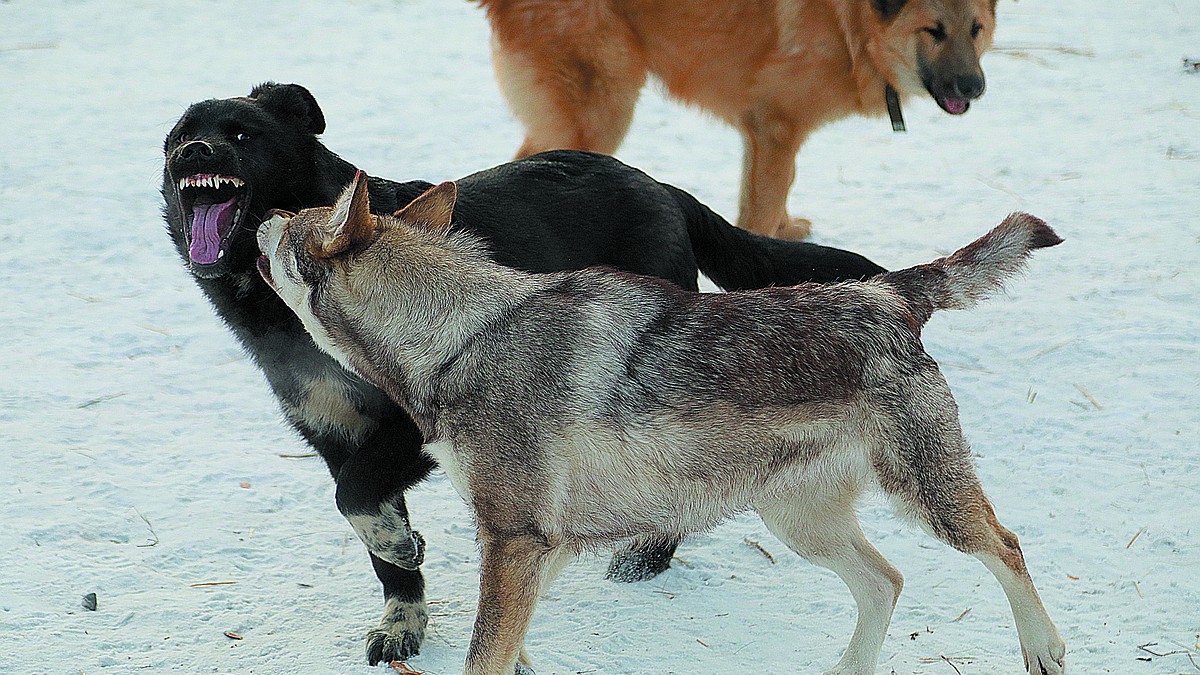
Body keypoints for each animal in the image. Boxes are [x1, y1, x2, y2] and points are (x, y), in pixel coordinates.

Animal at [159, 82, 888, 662]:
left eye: (241, 134)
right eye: (178, 137)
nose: (193, 152)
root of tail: (657, 184)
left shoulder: (413, 433)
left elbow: (359, 497)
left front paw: (402, 547)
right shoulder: (335, 436)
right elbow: (369, 525)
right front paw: (402, 611)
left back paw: (646, 557)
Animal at [258, 172, 1065, 672]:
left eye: (293, 222)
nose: (262, 215)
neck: (463, 334)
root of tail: (887, 292)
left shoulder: (516, 539)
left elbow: (486, 652)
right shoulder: (540, 546)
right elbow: (510, 649)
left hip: (928, 500)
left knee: (1008, 548)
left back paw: (1044, 649)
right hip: (799, 523)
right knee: (887, 581)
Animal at [475, 0, 993, 239]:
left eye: (975, 30)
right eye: (933, 31)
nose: (973, 87)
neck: (850, 24)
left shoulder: (766, 136)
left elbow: (778, 191)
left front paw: (787, 230)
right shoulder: (776, 128)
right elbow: (762, 207)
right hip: (602, 113)